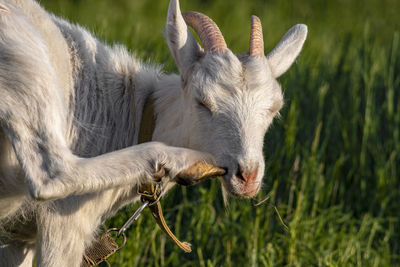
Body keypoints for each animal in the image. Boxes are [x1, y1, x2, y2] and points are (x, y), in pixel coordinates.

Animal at [0, 0, 308, 264]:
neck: (130, 116)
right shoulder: (65, 221)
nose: (248, 176)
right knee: (50, 172)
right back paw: (180, 160)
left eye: (275, 109)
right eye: (202, 101)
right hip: (23, 56)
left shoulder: (16, 239)